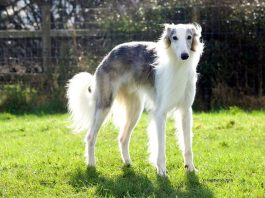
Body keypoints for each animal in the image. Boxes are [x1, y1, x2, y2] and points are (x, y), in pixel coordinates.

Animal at [66, 23, 202, 176]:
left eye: (189, 37)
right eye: (174, 37)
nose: (184, 56)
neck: (177, 66)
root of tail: (109, 55)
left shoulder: (185, 111)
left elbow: (188, 146)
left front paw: (190, 168)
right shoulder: (160, 113)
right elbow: (161, 147)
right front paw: (161, 171)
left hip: (135, 110)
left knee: (123, 138)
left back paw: (128, 163)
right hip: (104, 105)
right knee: (90, 137)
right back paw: (91, 165)